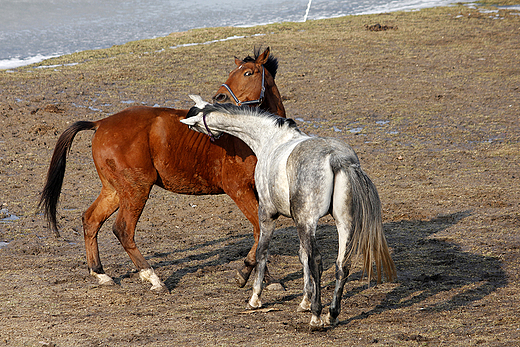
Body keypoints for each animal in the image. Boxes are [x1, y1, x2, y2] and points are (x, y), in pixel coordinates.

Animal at [39, 47, 284, 292]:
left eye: (248, 73)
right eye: (234, 72)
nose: (220, 98)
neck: (255, 135)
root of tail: (101, 123)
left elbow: (262, 234)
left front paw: (267, 279)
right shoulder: (238, 189)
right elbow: (260, 231)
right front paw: (246, 272)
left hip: (115, 190)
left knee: (90, 219)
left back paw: (100, 273)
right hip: (136, 189)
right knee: (123, 229)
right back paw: (152, 277)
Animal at [181, 96, 396, 328]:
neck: (271, 139)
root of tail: (336, 158)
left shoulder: (267, 213)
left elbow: (263, 252)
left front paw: (255, 298)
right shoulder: (298, 220)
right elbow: (302, 257)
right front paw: (305, 301)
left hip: (308, 222)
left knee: (317, 262)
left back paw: (316, 316)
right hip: (343, 223)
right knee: (341, 265)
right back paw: (332, 314)